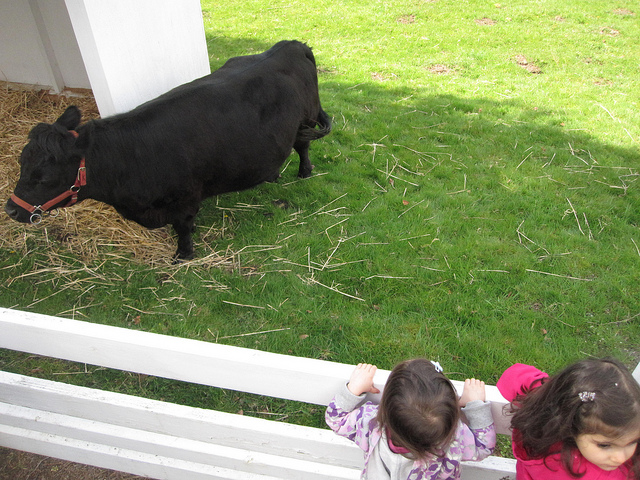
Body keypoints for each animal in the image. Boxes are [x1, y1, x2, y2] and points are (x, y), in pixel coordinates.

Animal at [5, 40, 331, 260]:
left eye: (44, 178)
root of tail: (290, 44)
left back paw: (304, 173)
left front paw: (183, 254)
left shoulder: (185, 199)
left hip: (305, 120)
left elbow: (183, 228)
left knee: (303, 146)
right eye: (21, 163)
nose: (10, 209)